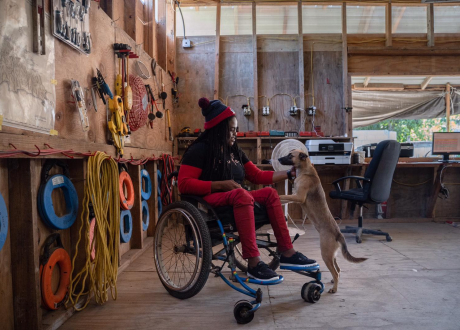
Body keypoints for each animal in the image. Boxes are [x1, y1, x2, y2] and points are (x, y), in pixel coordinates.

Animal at [276, 150, 366, 294]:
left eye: (290, 155)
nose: (278, 159)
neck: (306, 171)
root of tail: (338, 234)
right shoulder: (294, 196)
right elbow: (284, 198)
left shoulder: (298, 197)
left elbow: (282, 196)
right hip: (332, 255)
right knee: (338, 270)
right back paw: (333, 283)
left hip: (326, 254)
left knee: (336, 272)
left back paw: (334, 288)